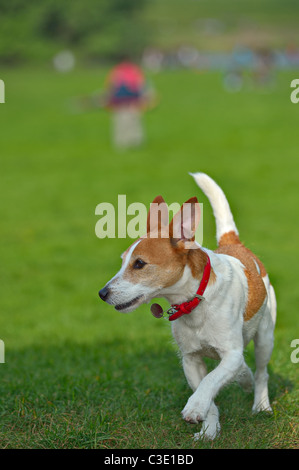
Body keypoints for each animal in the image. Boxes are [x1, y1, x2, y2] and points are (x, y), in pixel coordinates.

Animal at [99, 173, 278, 440]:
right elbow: (208, 391)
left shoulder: (231, 353)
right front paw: (208, 429)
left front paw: (195, 407)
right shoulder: (190, 360)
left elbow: (211, 381)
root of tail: (235, 244)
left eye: (139, 264)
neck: (194, 302)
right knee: (245, 371)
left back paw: (261, 404)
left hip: (265, 336)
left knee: (261, 373)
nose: (102, 293)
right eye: (123, 261)